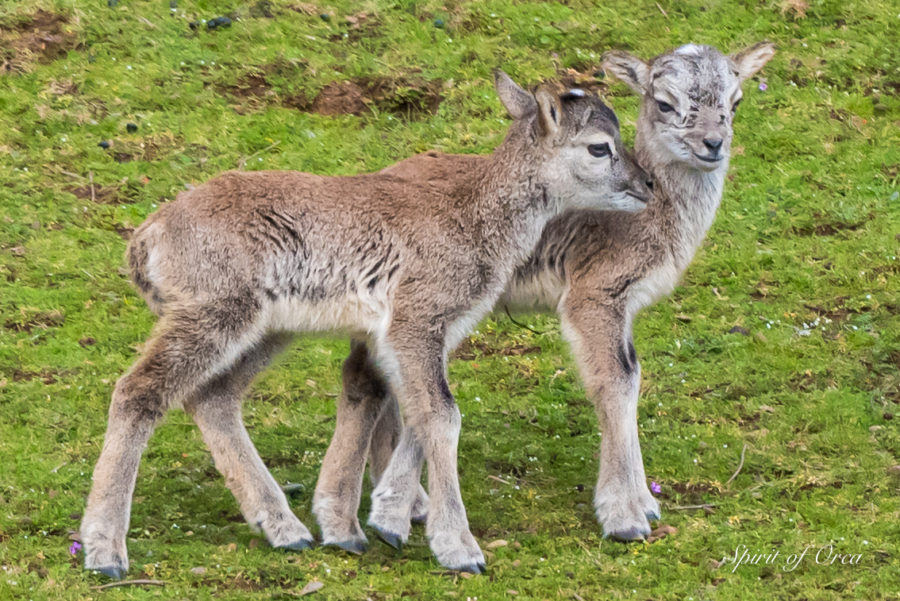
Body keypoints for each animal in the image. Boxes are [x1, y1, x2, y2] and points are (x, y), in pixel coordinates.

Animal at [79, 71, 652, 576]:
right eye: (599, 147)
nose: (645, 183)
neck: (473, 218)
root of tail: (150, 236)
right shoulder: (417, 317)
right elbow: (443, 415)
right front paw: (458, 548)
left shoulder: (417, 332)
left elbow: (417, 409)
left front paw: (375, 522)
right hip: (213, 311)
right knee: (139, 390)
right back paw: (105, 551)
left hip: (266, 328)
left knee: (212, 397)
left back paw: (286, 530)